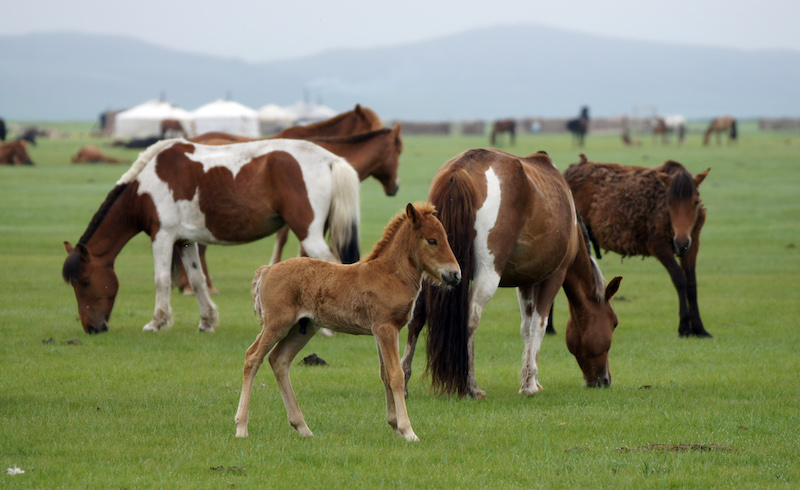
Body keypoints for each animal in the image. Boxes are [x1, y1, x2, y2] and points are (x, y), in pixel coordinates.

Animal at [61, 138, 360, 334]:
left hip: (308, 233)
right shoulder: (185, 241)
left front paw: (157, 322)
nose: (92, 327)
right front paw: (206, 321)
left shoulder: (162, 237)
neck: (144, 188)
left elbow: (161, 280)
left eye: (85, 282)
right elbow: (197, 279)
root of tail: (331, 160)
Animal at [236, 202, 462, 440]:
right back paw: (241, 427)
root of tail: (267, 270)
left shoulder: (382, 331)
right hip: (277, 324)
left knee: (279, 360)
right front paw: (408, 431)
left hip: (302, 328)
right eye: (432, 240)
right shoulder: (386, 328)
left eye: (445, 237)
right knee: (253, 357)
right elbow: (396, 375)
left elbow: (385, 374)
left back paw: (303, 428)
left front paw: (394, 425)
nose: (455, 274)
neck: (391, 275)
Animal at [400, 148, 624, 398]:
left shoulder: (525, 280)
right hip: (488, 273)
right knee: (470, 319)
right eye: (614, 323)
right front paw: (530, 384)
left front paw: (530, 380)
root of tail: (461, 170)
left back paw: (404, 380)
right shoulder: (554, 276)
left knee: (417, 317)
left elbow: (526, 327)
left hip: (435, 269)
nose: (604, 380)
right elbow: (538, 325)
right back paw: (470, 386)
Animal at [564, 153, 712, 336]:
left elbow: (691, 282)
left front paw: (699, 328)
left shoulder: (694, 242)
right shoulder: (658, 246)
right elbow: (679, 278)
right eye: (669, 203)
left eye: (696, 202)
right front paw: (684, 326)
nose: (681, 242)